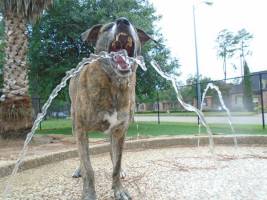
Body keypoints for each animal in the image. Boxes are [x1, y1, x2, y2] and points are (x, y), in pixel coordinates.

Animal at [69, 17, 153, 200]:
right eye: (107, 27)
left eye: (133, 26)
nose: (123, 21)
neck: (114, 85)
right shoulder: (81, 129)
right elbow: (88, 168)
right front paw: (89, 193)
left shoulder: (120, 130)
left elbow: (116, 163)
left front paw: (119, 189)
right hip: (74, 124)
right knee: (80, 154)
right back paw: (79, 169)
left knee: (112, 154)